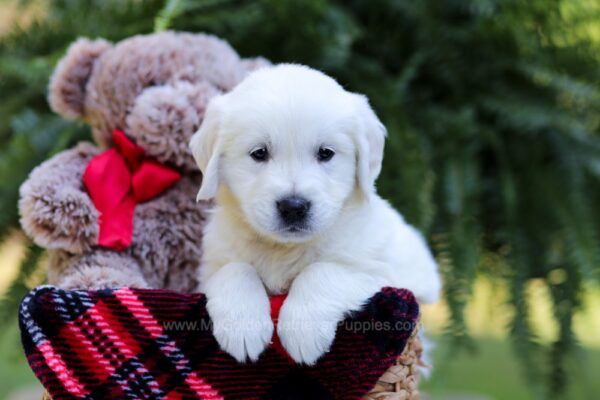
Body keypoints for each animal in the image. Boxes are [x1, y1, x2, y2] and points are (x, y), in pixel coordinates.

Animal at [190, 63, 442, 366]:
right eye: (259, 153)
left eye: (326, 153)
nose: (293, 207)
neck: (284, 249)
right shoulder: (210, 268)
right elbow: (235, 269)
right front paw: (242, 327)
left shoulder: (385, 274)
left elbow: (323, 270)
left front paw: (302, 330)